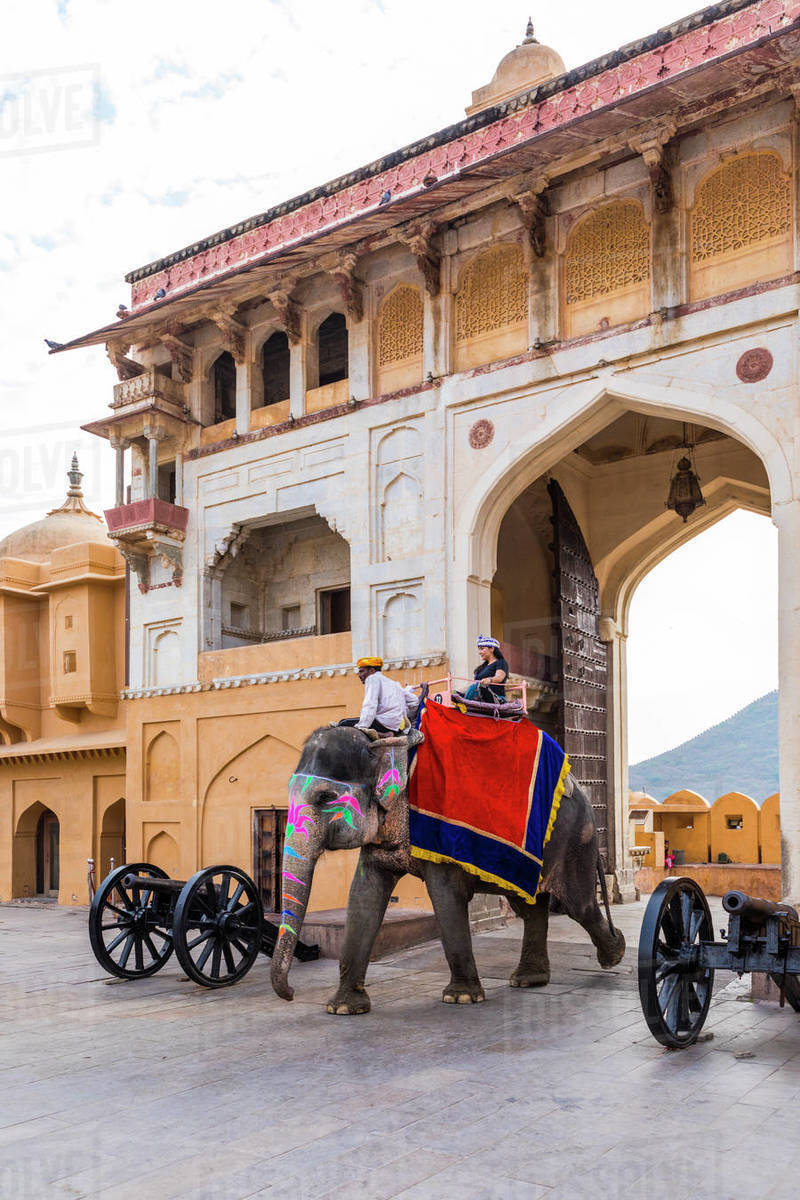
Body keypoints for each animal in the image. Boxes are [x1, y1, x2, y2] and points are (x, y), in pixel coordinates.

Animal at [272, 720, 628, 1012]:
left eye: (325, 796)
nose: (290, 994)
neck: (389, 744)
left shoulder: (441, 833)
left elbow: (445, 895)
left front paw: (461, 998)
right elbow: (362, 897)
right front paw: (343, 1007)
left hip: (574, 839)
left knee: (578, 905)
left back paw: (615, 953)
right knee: (531, 907)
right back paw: (529, 979)